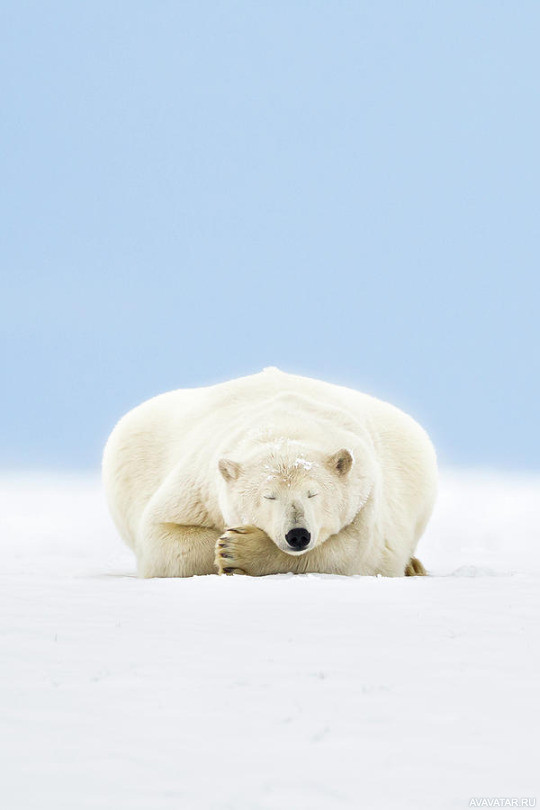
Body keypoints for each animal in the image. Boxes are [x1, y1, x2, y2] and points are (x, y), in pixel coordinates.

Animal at [102, 366, 438, 576]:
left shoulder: (367, 493)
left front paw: (239, 550)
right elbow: (162, 537)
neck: (284, 423)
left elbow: (356, 552)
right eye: (268, 496)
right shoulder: (199, 486)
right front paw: (225, 546)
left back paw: (414, 566)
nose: (298, 534)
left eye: (313, 494)